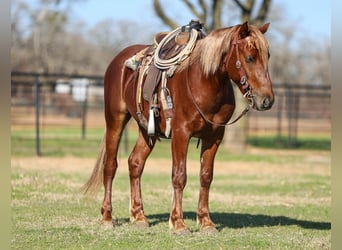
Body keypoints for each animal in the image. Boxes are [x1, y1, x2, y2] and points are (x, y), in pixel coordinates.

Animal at [83, 21, 276, 234]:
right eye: (250, 58)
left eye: (267, 56)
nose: (267, 100)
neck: (204, 82)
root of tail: (118, 61)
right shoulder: (181, 134)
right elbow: (179, 176)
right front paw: (178, 223)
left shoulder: (214, 136)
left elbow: (206, 176)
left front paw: (206, 222)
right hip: (115, 120)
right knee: (110, 165)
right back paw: (107, 217)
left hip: (146, 130)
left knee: (135, 163)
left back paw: (139, 216)